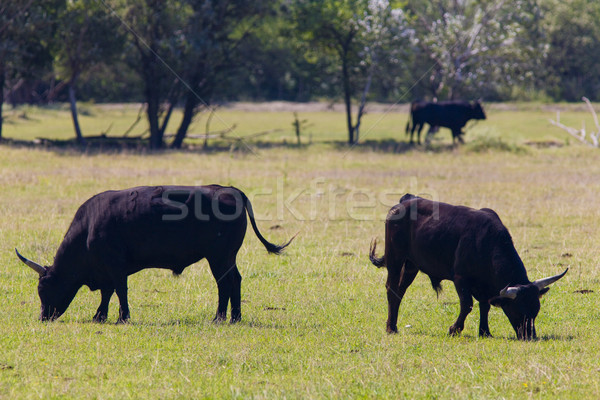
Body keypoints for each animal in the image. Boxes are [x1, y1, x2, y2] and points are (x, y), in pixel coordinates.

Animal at [15, 186, 292, 324]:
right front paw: (100, 316)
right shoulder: (107, 270)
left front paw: (122, 317)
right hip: (226, 259)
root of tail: (229, 190)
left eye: (44, 289)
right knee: (235, 281)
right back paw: (234, 317)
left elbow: (119, 290)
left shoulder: (115, 266)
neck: (89, 227)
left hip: (219, 259)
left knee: (226, 283)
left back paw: (220, 318)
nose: (43, 317)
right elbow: (107, 293)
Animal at [368, 195, 568, 340]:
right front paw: (454, 329)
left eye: (535, 312)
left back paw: (393, 324)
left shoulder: (485, 287)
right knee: (391, 289)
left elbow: (484, 306)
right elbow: (467, 305)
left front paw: (485, 331)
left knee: (400, 292)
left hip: (411, 266)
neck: (487, 243)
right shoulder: (460, 279)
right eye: (519, 309)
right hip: (395, 260)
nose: (529, 336)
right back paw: (391, 328)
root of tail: (405, 201)